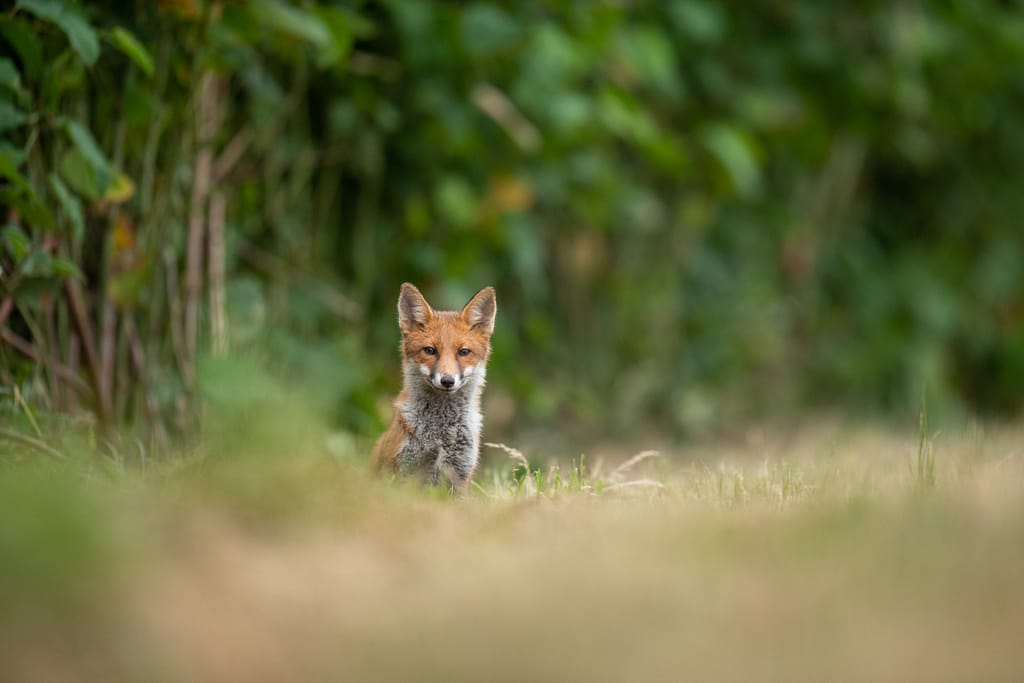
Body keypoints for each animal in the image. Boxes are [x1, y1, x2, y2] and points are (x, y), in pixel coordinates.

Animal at [371, 283, 497, 491]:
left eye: (464, 352)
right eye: (430, 350)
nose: (447, 380)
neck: (442, 432)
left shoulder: (461, 473)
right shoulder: (405, 469)